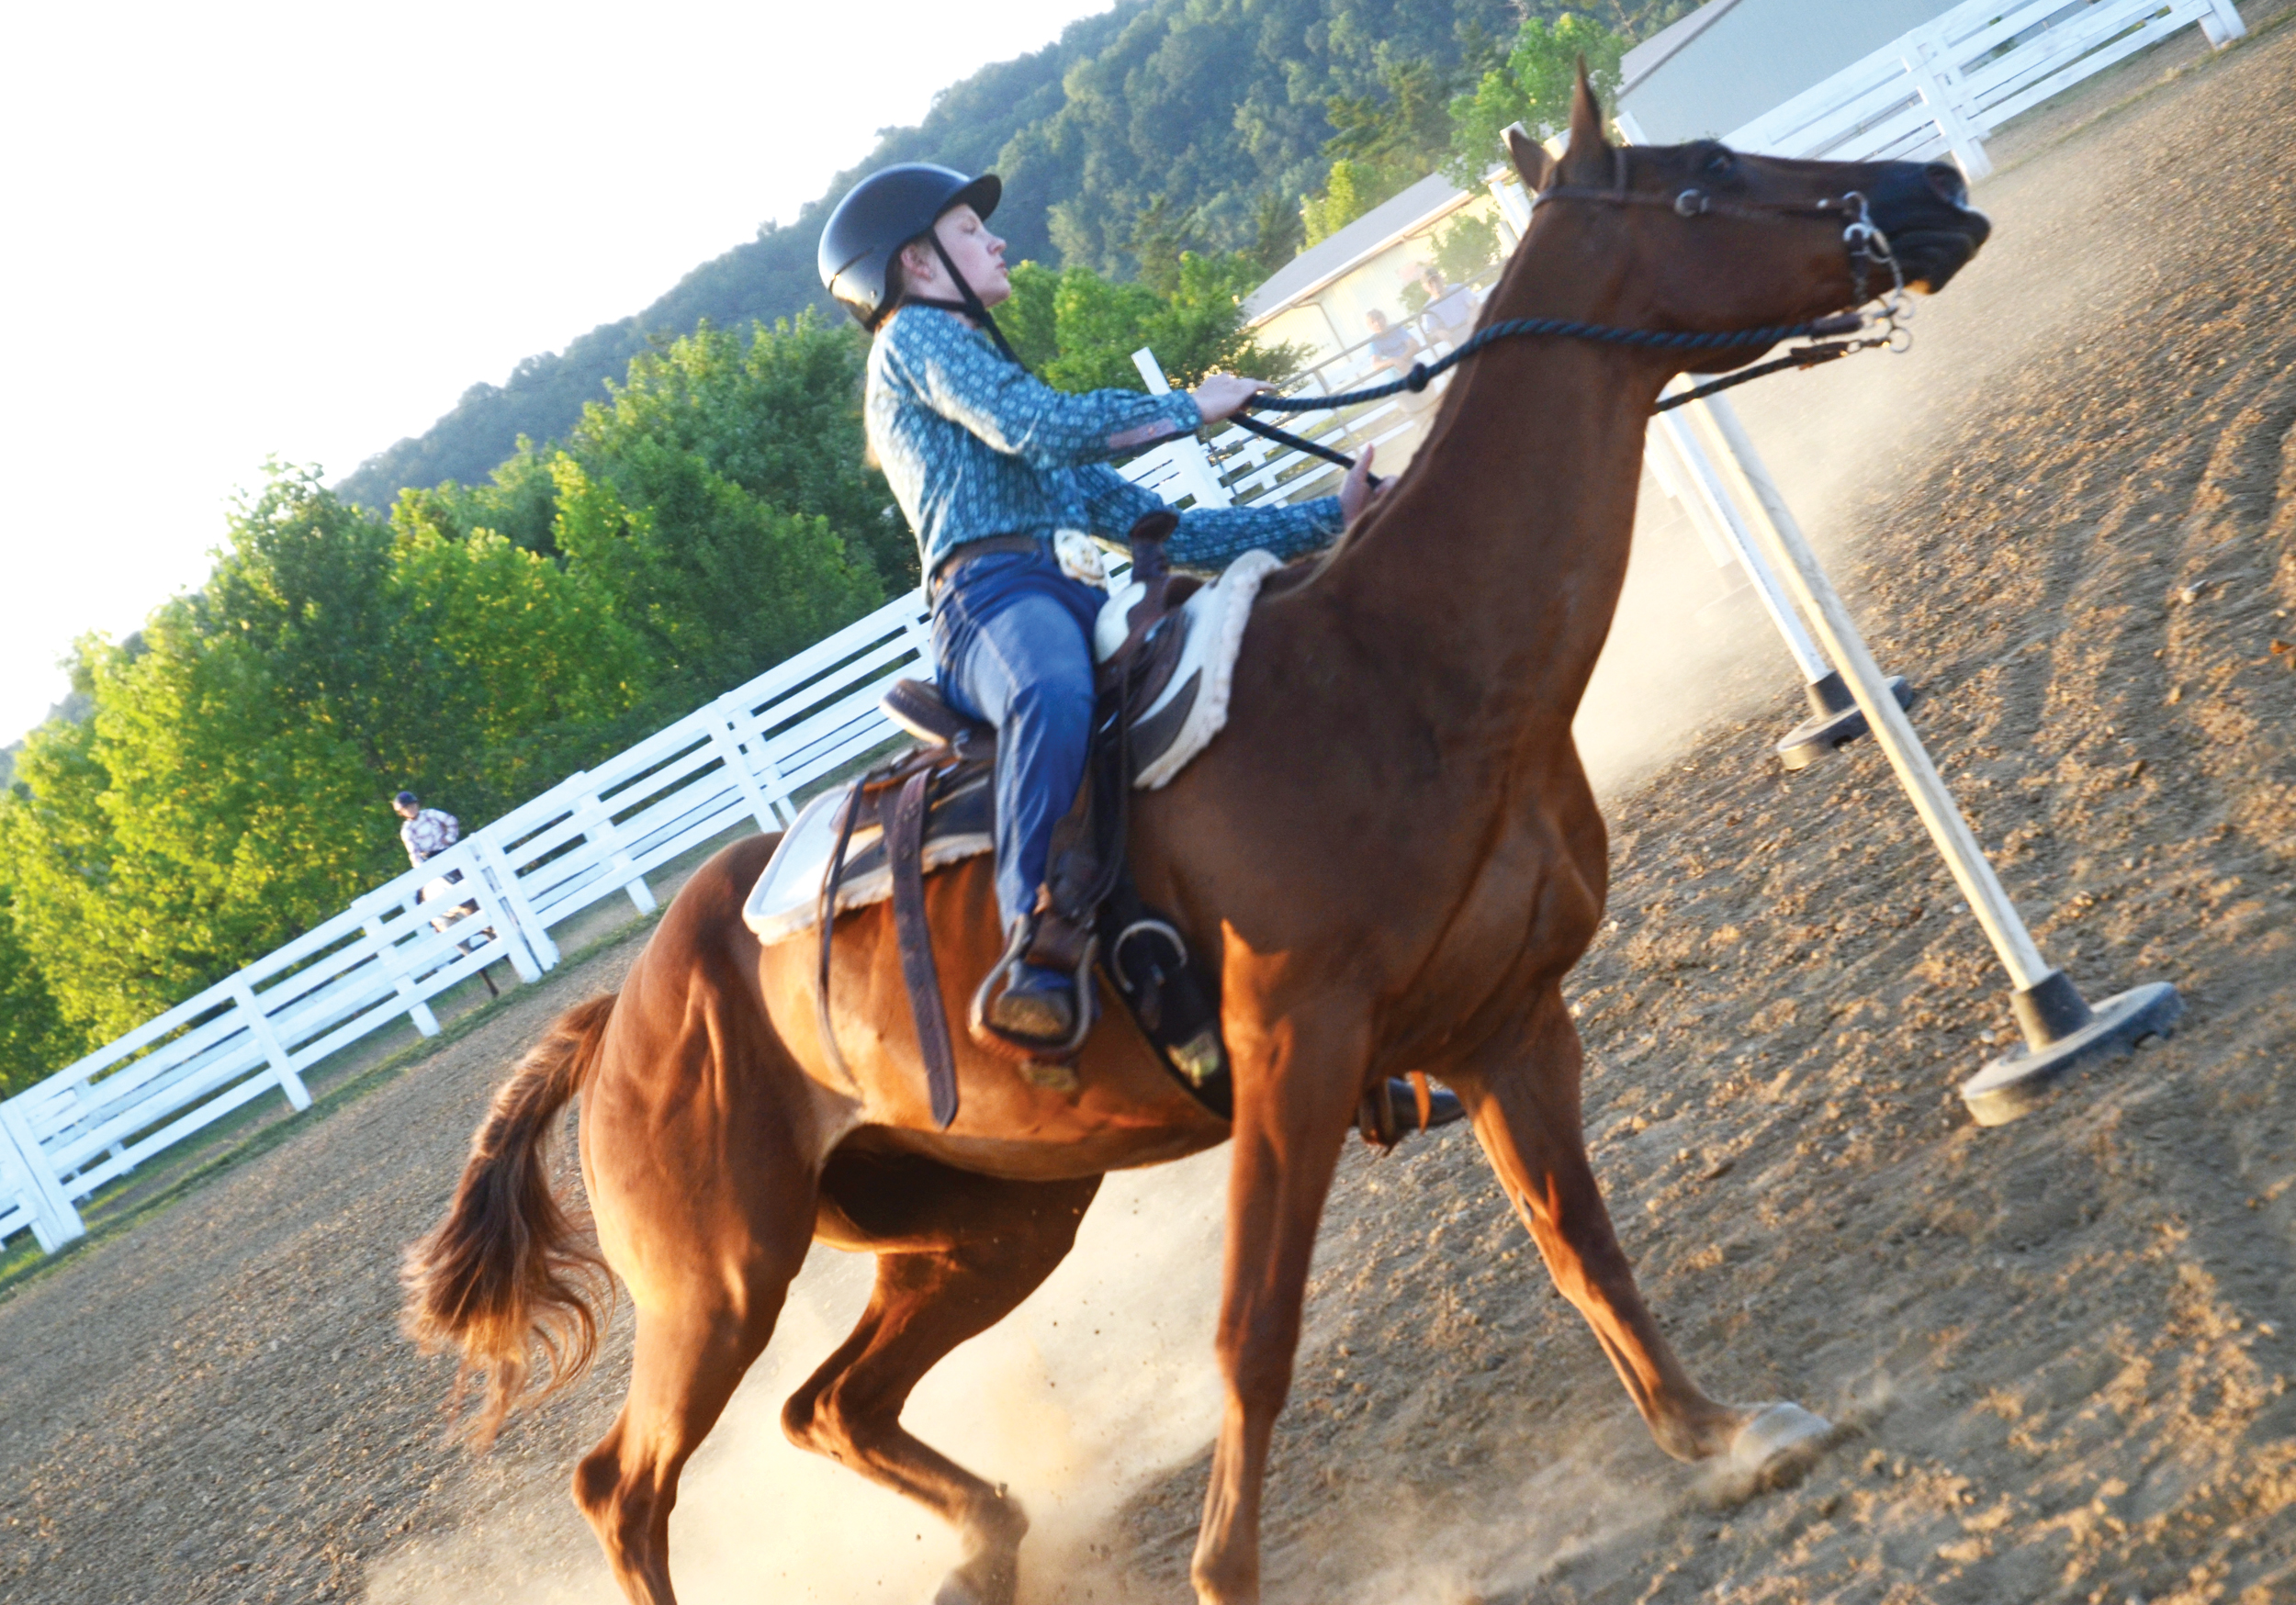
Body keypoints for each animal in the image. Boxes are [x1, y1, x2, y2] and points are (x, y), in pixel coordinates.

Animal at [403, 76, 1990, 1605]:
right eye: (1706, 177)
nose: (1934, 187)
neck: (1406, 669)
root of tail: (626, 1008)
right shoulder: (1296, 1050)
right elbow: (1256, 1330)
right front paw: (1228, 1574)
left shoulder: (1512, 1024)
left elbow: (1580, 1246)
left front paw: (1715, 1437)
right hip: (717, 1277)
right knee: (625, 1486)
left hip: (995, 1218)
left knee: (830, 1408)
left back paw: (987, 1543)